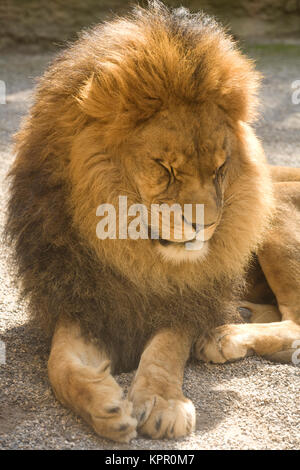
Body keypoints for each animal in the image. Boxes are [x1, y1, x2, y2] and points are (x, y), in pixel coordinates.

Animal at [4, 0, 300, 442]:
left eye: (220, 169)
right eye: (165, 167)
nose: (206, 226)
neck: (132, 254)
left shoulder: (184, 300)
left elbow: (165, 350)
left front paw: (162, 404)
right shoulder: (84, 300)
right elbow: (61, 366)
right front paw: (105, 408)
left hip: (276, 211)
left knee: (295, 318)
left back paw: (224, 337)